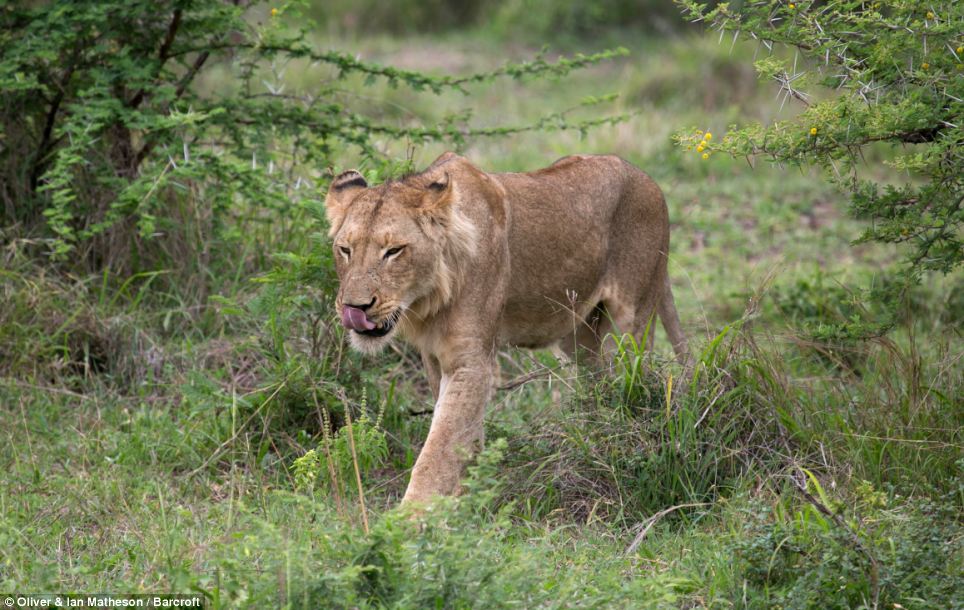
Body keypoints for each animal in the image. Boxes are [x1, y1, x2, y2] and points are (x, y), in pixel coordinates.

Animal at [328, 153, 688, 504]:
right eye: (345, 250)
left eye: (394, 251)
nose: (355, 308)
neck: (429, 299)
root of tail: (648, 180)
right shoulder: (432, 357)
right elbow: (462, 434)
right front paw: (464, 495)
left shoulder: (471, 362)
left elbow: (441, 444)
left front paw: (412, 515)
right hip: (579, 334)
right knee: (595, 382)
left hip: (630, 326)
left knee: (631, 384)